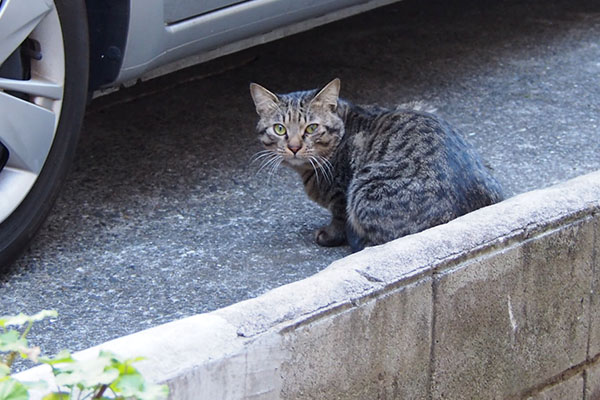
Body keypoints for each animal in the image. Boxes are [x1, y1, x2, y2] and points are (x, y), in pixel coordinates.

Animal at [251, 78, 504, 252]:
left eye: (312, 128)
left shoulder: (342, 195)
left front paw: (329, 235)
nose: (294, 146)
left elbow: (339, 219)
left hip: (363, 188)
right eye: (280, 129)